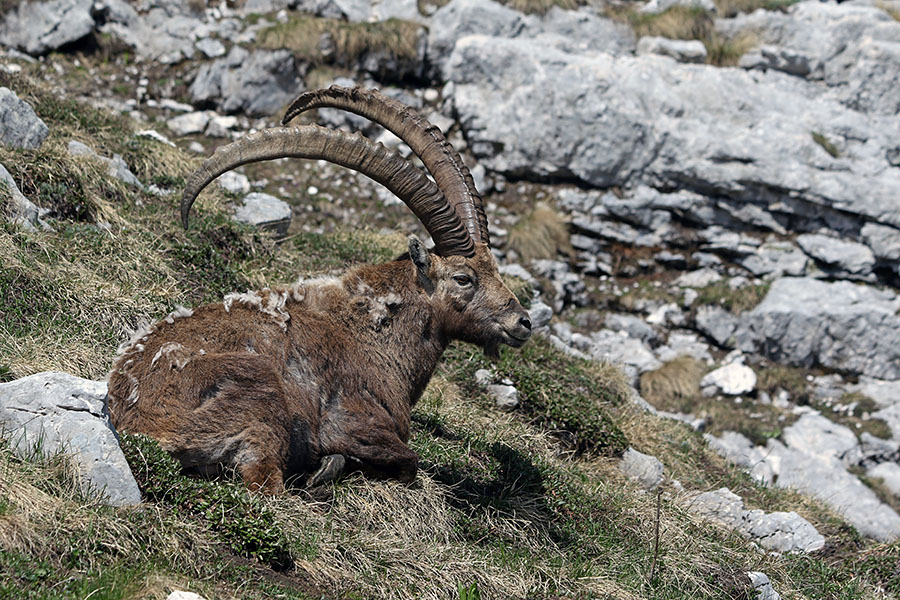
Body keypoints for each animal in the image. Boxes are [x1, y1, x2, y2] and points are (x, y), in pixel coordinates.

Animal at [107, 86, 533, 493]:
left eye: (495, 269)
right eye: (463, 278)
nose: (523, 322)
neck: (372, 332)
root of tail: (137, 420)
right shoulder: (351, 420)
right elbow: (407, 461)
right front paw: (338, 466)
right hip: (262, 402)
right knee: (267, 485)